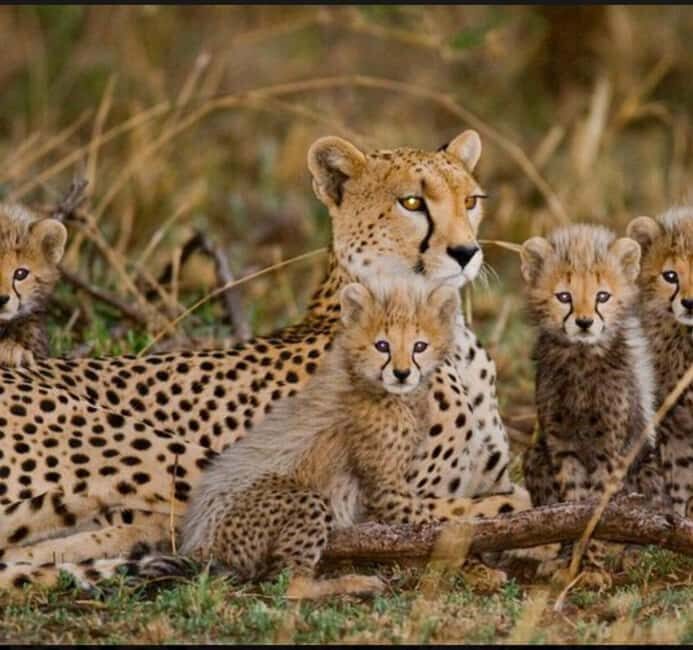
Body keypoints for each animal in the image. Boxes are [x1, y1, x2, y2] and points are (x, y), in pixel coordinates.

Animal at [520, 224, 666, 585]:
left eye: (602, 296)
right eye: (564, 297)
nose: (584, 322)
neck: (582, 359)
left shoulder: (609, 451)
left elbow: (600, 508)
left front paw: (593, 567)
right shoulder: (561, 445)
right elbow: (573, 504)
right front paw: (572, 562)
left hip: (649, 466)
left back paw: (633, 554)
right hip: (535, 457)